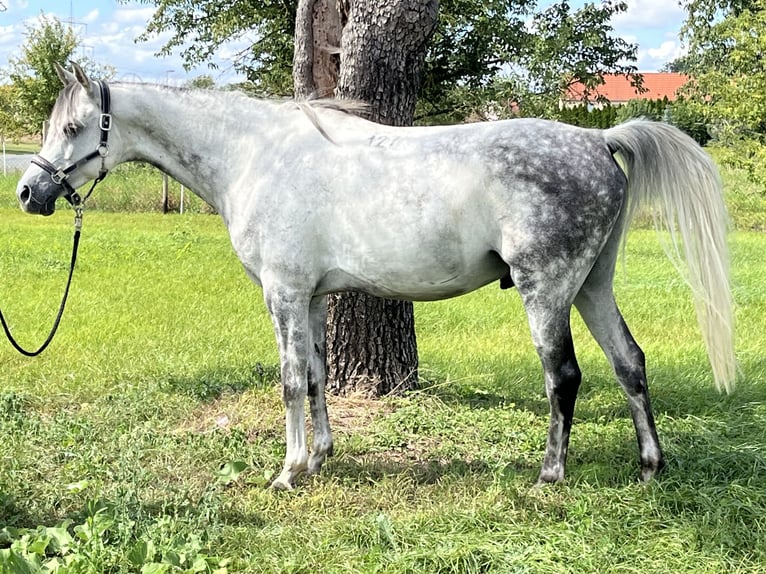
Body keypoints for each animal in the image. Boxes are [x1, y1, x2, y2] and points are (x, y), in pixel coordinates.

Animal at [13, 64, 736, 490]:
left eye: (74, 126)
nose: (27, 192)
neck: (255, 155)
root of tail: (597, 140)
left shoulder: (283, 294)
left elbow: (288, 381)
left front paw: (287, 472)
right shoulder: (311, 298)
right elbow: (316, 376)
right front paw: (320, 457)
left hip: (548, 292)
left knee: (565, 376)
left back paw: (550, 475)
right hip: (593, 287)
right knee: (629, 363)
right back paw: (649, 465)